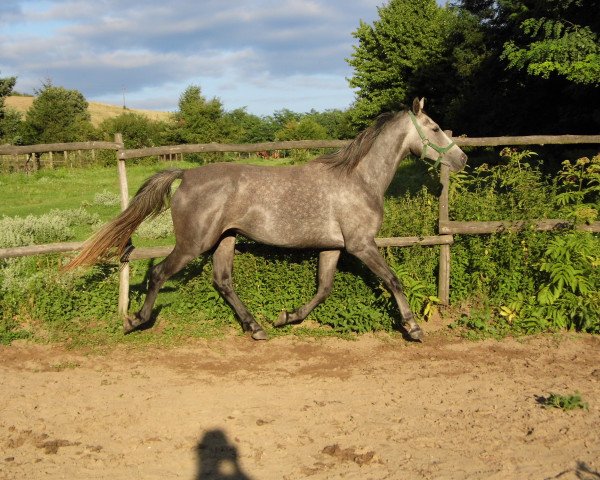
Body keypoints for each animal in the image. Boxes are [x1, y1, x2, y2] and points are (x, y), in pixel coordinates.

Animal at [67, 98, 468, 342]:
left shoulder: (333, 247)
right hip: (193, 243)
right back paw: (136, 320)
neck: (359, 179)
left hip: (225, 240)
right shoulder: (361, 245)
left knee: (223, 281)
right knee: (159, 273)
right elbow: (393, 280)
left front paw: (286, 317)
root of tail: (186, 174)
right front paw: (413, 327)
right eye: (434, 128)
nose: (462, 159)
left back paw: (256, 327)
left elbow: (323, 289)